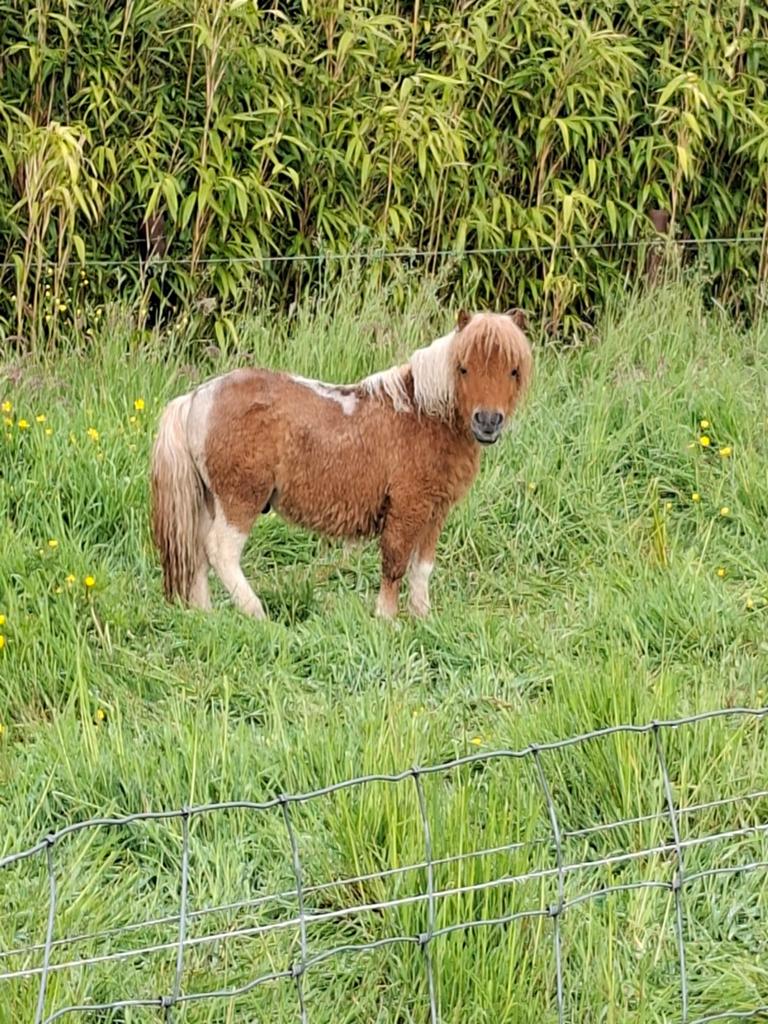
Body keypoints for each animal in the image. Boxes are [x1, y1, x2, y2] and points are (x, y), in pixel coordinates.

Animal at [150, 309, 532, 620]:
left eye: (513, 370)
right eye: (463, 368)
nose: (487, 421)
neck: (424, 413)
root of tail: (196, 398)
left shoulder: (434, 513)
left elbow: (421, 568)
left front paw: (423, 618)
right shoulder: (407, 508)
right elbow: (394, 564)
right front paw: (387, 620)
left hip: (210, 501)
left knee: (198, 552)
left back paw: (206, 615)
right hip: (240, 500)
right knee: (221, 552)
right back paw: (256, 613)